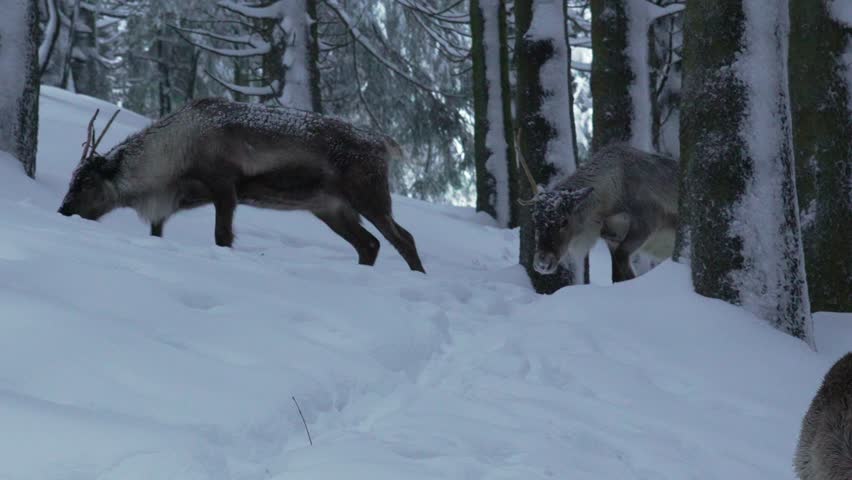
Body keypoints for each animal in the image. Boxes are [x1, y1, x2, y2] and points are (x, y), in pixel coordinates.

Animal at [58, 98, 425, 273]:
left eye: (85, 181)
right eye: (72, 179)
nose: (62, 210)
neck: (172, 155)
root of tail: (384, 144)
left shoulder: (224, 186)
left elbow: (222, 237)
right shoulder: (181, 198)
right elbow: (156, 231)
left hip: (369, 195)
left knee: (403, 238)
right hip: (329, 208)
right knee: (369, 244)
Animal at [515, 134, 679, 283]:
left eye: (564, 221)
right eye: (535, 220)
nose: (542, 263)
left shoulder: (647, 222)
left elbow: (625, 267)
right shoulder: (612, 236)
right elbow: (616, 277)